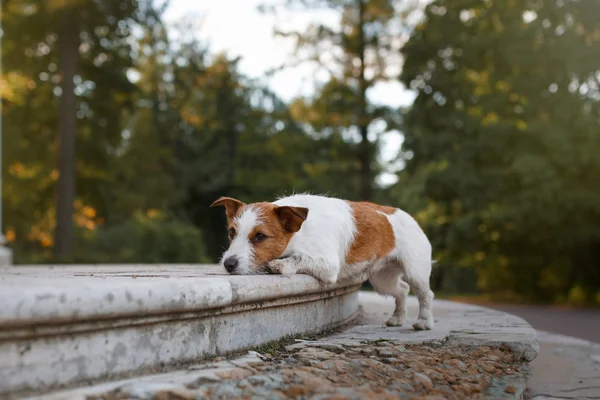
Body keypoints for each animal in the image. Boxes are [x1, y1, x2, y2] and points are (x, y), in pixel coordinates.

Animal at [212, 192, 436, 330]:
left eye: (260, 236)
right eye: (231, 232)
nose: (228, 264)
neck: (301, 230)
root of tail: (411, 218)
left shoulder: (328, 264)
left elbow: (300, 257)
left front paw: (282, 264)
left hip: (416, 272)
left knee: (425, 294)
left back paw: (424, 322)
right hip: (383, 279)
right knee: (402, 290)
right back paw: (397, 317)